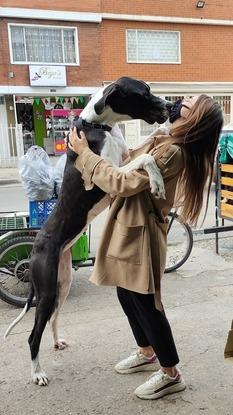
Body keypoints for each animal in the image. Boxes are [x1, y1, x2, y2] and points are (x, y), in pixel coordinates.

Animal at [4, 76, 170, 386]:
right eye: (144, 93)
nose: (168, 106)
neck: (100, 125)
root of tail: (36, 244)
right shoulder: (110, 175)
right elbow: (146, 159)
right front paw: (156, 180)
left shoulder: (125, 156)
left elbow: (145, 149)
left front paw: (166, 130)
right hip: (46, 292)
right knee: (33, 336)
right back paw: (37, 373)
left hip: (63, 283)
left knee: (54, 318)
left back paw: (56, 342)